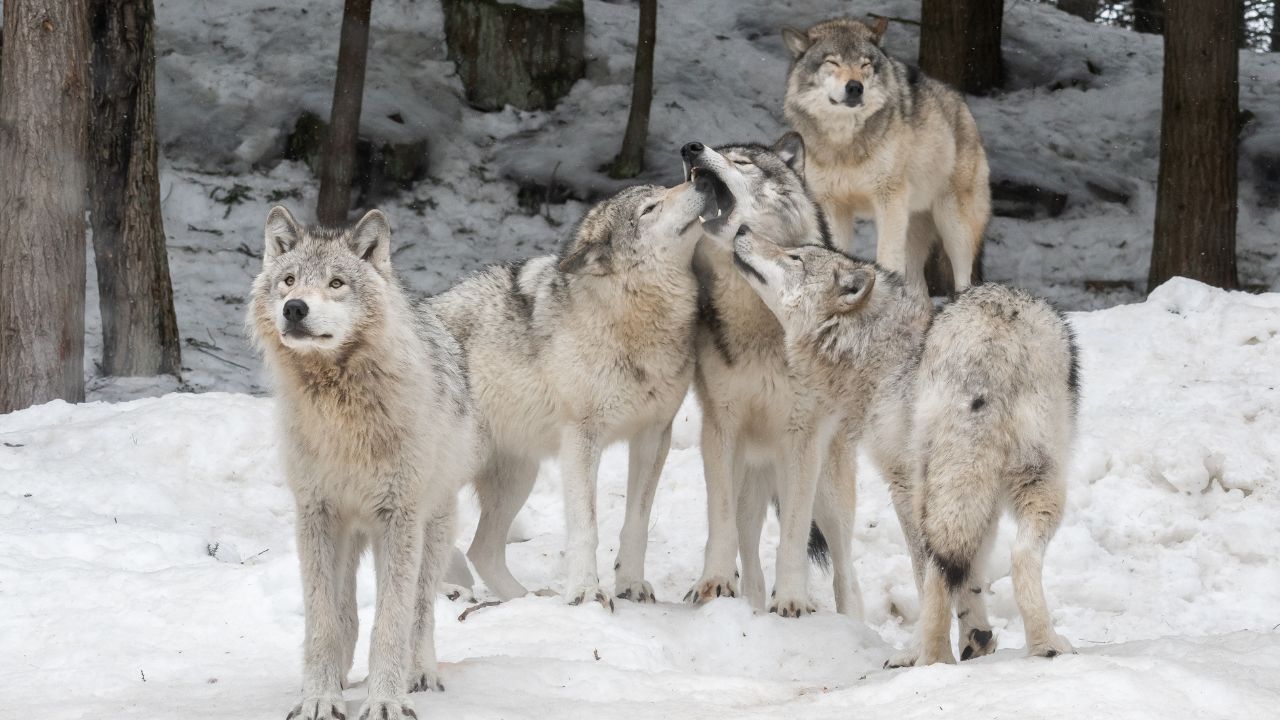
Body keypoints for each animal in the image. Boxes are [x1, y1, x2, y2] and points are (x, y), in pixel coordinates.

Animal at [250, 207, 478, 720]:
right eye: (289, 280)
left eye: (336, 283)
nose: (295, 308)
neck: (341, 410)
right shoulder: (315, 514)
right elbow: (322, 621)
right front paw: (318, 697)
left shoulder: (399, 518)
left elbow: (392, 621)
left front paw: (386, 701)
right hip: (349, 532)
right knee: (346, 613)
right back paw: (339, 678)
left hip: (432, 528)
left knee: (421, 609)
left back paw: (420, 675)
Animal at [429, 181, 711, 607]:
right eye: (649, 208)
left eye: (666, 188)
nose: (700, 177)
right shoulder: (581, 439)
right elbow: (586, 528)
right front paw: (586, 592)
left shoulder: (653, 436)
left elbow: (636, 523)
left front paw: (630, 584)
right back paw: (449, 591)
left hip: (518, 476)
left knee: (483, 551)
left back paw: (527, 599)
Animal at [681, 137, 865, 618]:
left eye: (742, 161)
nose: (690, 147)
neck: (761, 326)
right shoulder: (720, 427)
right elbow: (721, 521)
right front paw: (714, 582)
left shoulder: (803, 439)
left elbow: (794, 536)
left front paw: (794, 599)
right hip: (752, 476)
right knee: (748, 545)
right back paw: (749, 598)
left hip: (828, 490)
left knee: (846, 572)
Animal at [731, 229, 1078, 665]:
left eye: (795, 257)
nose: (741, 231)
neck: (880, 358)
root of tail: (996, 342)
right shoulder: (984, 500)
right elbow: (971, 571)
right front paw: (977, 638)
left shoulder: (901, 485)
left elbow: (927, 573)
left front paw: (933, 650)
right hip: (1036, 486)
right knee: (1019, 558)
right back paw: (1047, 645)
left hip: (934, 490)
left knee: (935, 571)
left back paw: (928, 655)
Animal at [782, 17, 991, 294]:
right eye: (832, 62)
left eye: (865, 64)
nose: (855, 87)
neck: (844, 144)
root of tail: (964, 106)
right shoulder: (833, 207)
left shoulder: (888, 201)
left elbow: (887, 261)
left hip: (953, 225)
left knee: (964, 277)